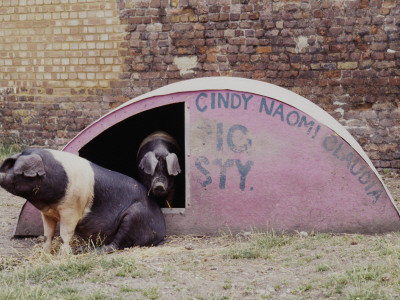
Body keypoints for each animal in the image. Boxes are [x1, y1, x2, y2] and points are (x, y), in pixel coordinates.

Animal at [0, 148, 166, 255]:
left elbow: (65, 235)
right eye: (10, 166)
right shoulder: (47, 213)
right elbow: (48, 234)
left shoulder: (71, 210)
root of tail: (161, 233)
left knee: (117, 243)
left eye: (17, 170)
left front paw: (62, 256)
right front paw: (44, 253)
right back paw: (81, 250)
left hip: (134, 216)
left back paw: (92, 252)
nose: (0, 174)